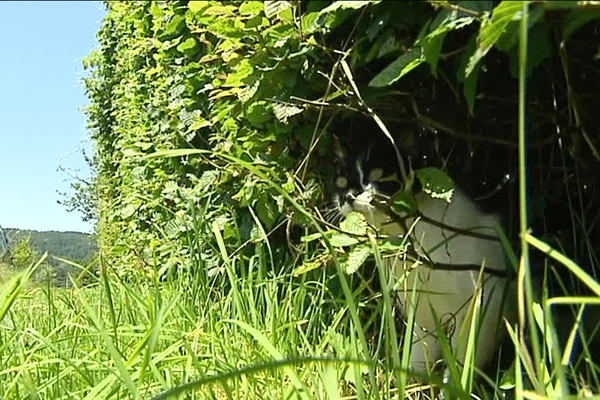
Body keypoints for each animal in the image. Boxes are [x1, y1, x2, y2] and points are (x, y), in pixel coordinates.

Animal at [330, 133, 512, 374]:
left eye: (381, 177)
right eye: (341, 183)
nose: (349, 196)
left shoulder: (484, 306)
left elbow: (462, 361)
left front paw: (453, 383)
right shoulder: (421, 310)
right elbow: (418, 353)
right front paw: (410, 380)